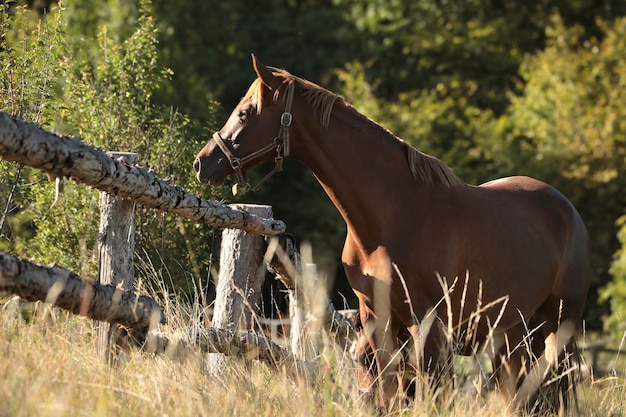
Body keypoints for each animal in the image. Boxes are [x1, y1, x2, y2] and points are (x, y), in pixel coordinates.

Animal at [195, 56, 588, 412]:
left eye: (245, 113)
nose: (204, 162)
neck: (391, 216)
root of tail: (567, 209)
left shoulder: (429, 327)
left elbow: (432, 395)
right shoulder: (377, 321)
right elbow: (385, 394)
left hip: (558, 328)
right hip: (515, 336)